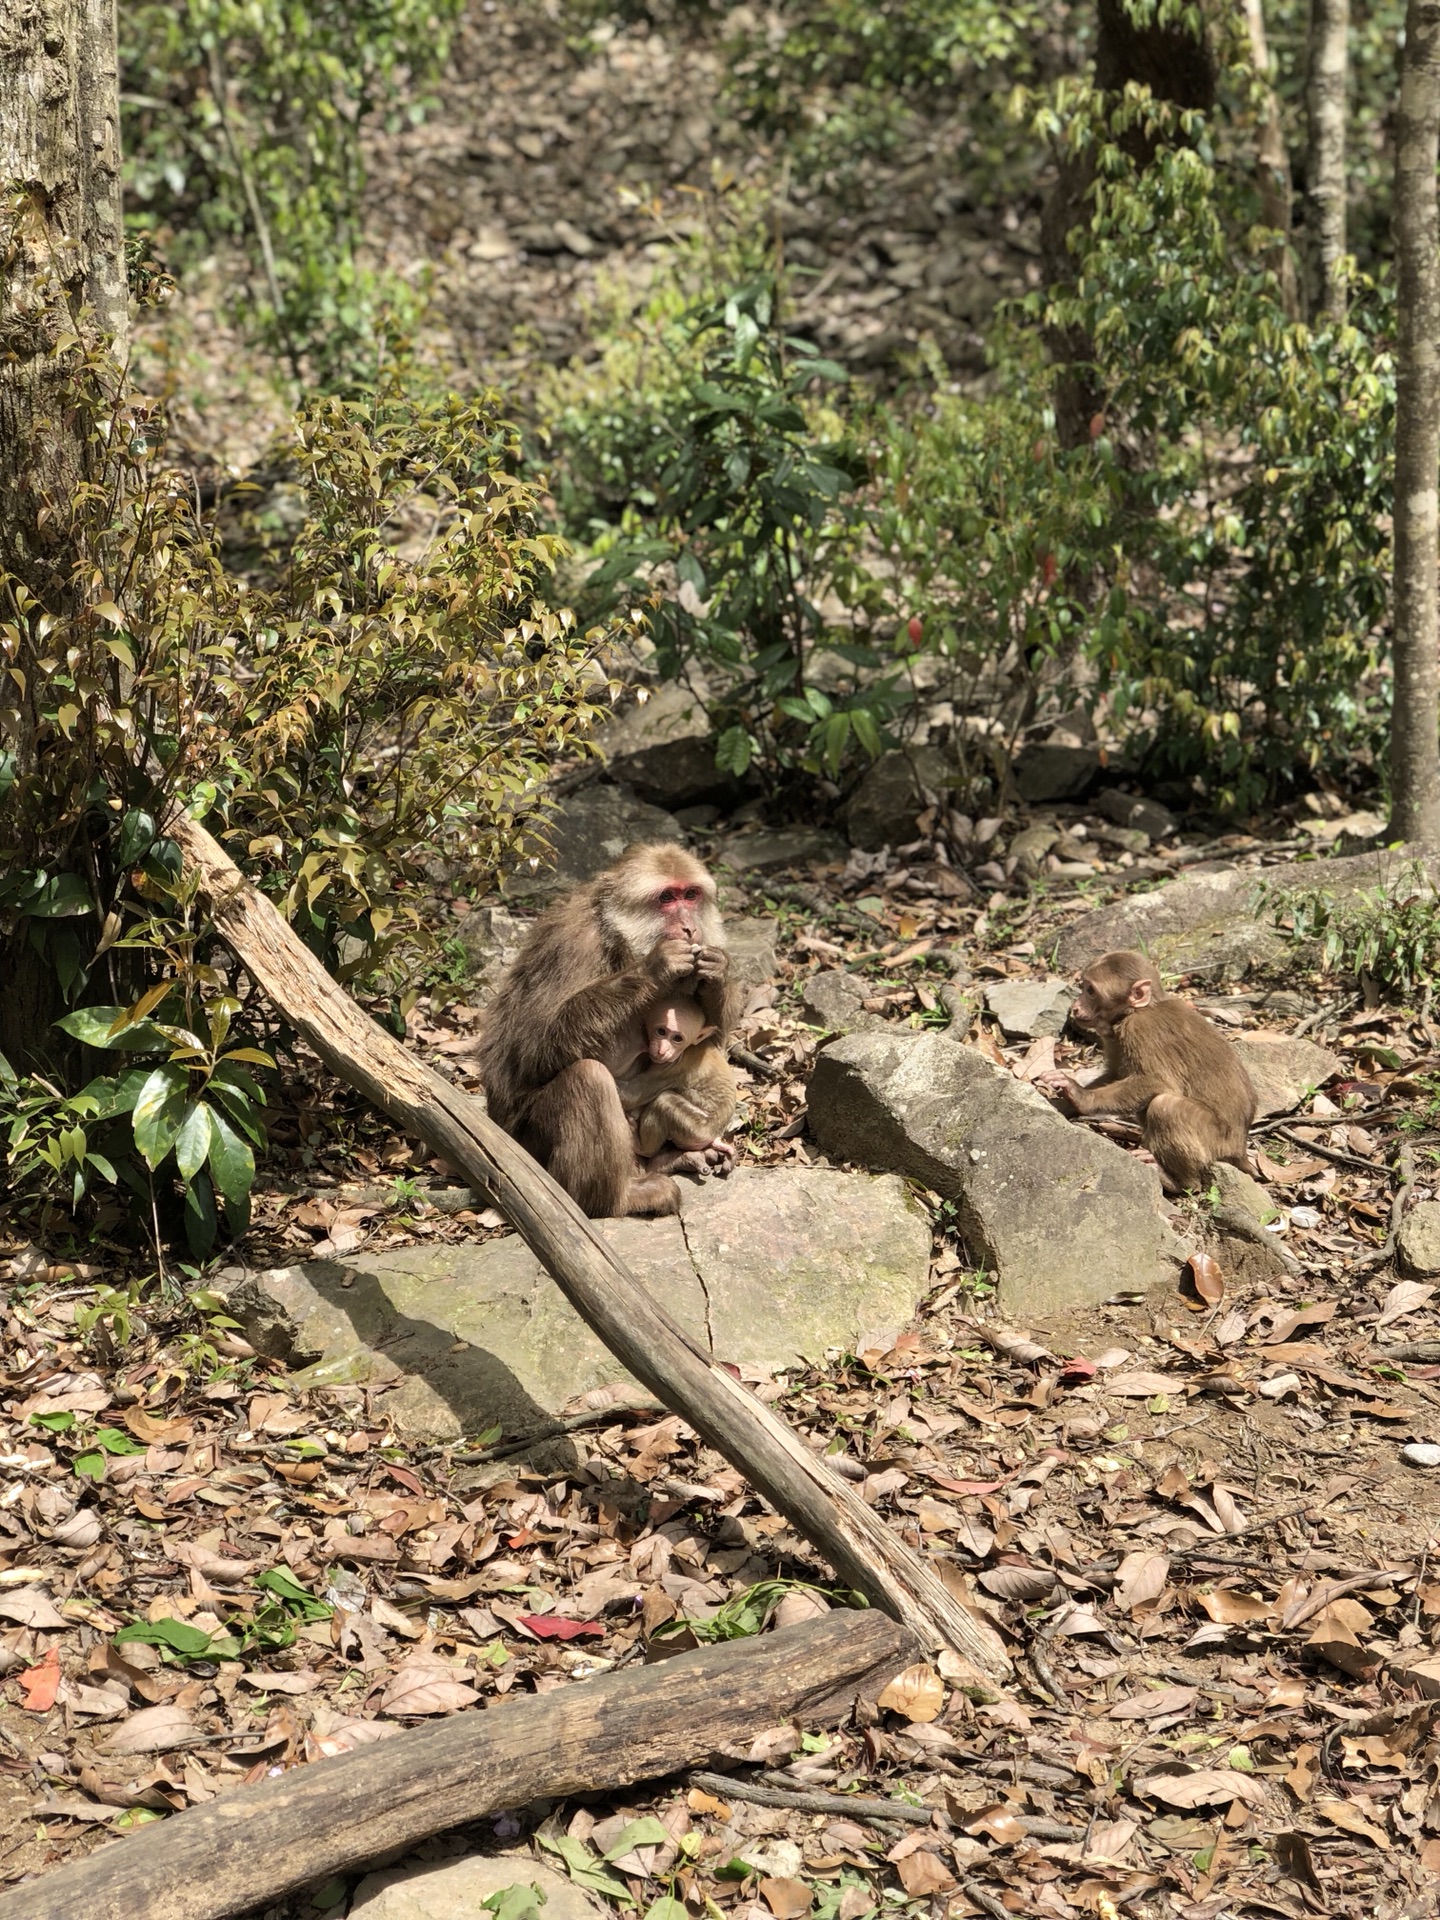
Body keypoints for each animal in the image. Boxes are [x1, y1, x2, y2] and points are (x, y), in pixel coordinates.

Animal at [610, 998, 744, 1175]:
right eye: (661, 1031)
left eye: (677, 1038)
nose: (662, 1050)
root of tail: (713, 1135)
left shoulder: (671, 1070)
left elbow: (630, 1096)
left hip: (697, 1130)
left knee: (664, 1101)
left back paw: (642, 1147)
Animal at [1036, 944, 1259, 1182]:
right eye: (1084, 987)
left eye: (1091, 991)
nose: (1076, 1006)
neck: (1137, 1010)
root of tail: (1241, 1147)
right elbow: (1116, 1073)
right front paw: (1063, 1103)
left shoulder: (1140, 1029)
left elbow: (1158, 1082)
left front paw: (1080, 1096)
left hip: (1216, 1140)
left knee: (1166, 1107)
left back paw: (1176, 1180)